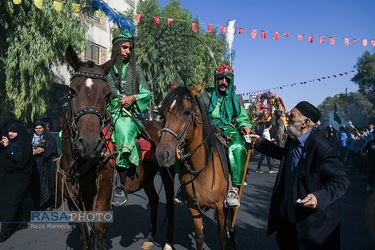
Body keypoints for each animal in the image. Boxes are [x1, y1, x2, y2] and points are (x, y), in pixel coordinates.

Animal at [57, 45, 175, 250]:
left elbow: (99, 233)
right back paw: (149, 238)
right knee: (153, 201)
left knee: (168, 204)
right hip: (147, 178)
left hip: (167, 174)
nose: (90, 144)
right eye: (72, 91)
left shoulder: (102, 200)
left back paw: (167, 242)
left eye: (106, 94)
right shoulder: (74, 203)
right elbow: (84, 235)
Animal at [156, 82, 238, 250]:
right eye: (163, 113)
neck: (202, 168)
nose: (162, 154)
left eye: (187, 112)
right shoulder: (193, 206)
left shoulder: (220, 207)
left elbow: (221, 235)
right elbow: (199, 237)